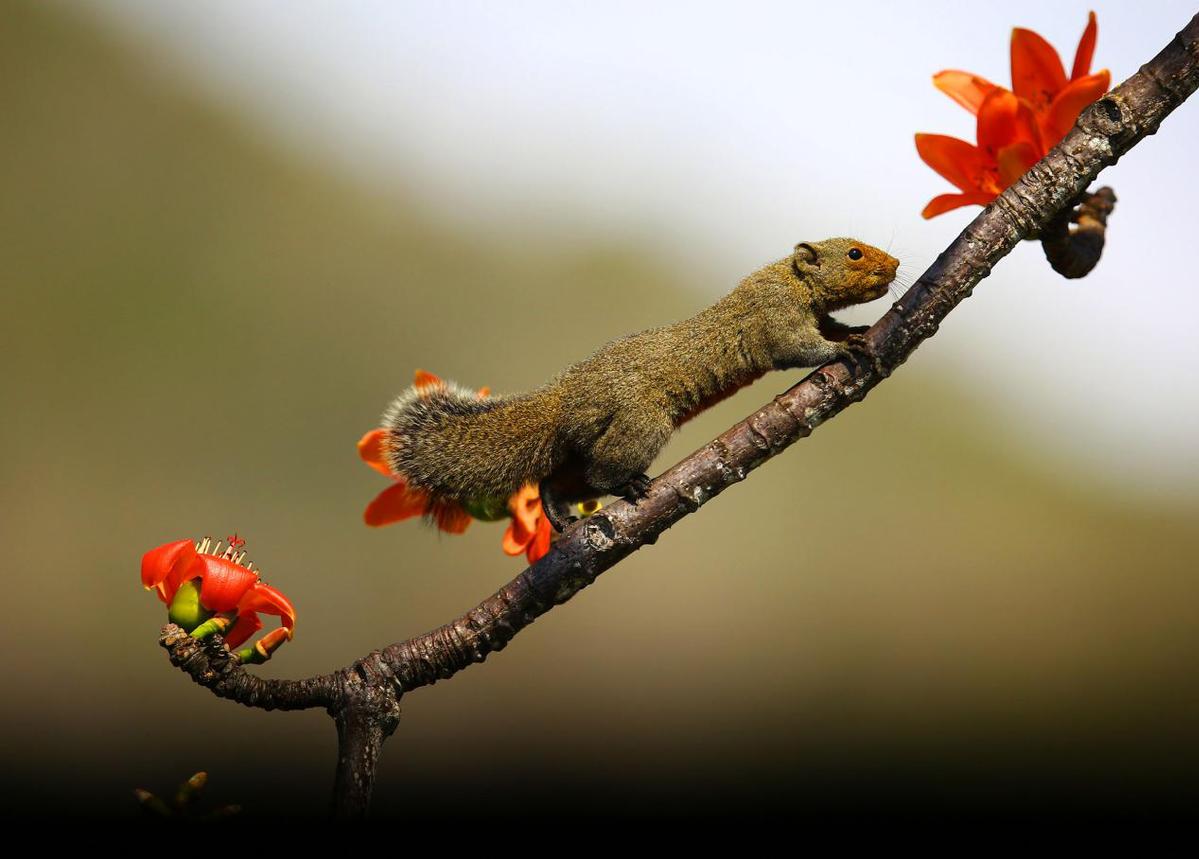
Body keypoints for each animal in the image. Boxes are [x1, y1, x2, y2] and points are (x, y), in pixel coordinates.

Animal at [383, 235, 901, 530]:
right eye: (854, 253)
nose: (896, 264)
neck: (792, 280)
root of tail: (562, 401)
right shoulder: (775, 319)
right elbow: (799, 349)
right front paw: (840, 351)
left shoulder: (814, 315)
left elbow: (831, 328)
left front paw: (854, 333)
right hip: (639, 425)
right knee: (601, 474)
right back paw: (629, 486)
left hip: (593, 442)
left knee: (559, 479)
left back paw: (555, 509)